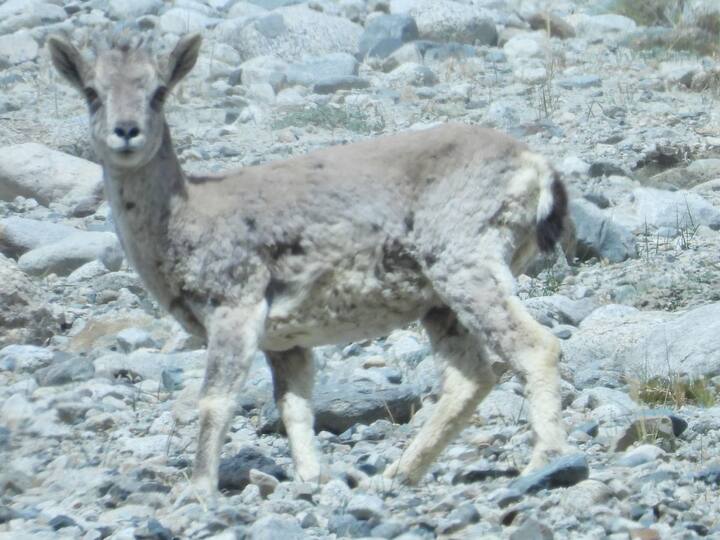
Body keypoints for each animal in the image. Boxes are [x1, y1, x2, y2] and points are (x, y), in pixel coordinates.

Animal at [48, 31, 570, 504]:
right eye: (92, 92)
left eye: (158, 90)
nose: (127, 131)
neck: (183, 218)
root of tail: (536, 168)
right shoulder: (286, 343)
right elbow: (294, 407)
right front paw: (311, 479)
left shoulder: (236, 307)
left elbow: (216, 400)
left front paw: (196, 491)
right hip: (438, 303)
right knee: (469, 379)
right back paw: (396, 475)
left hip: (465, 263)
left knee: (535, 346)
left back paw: (543, 460)